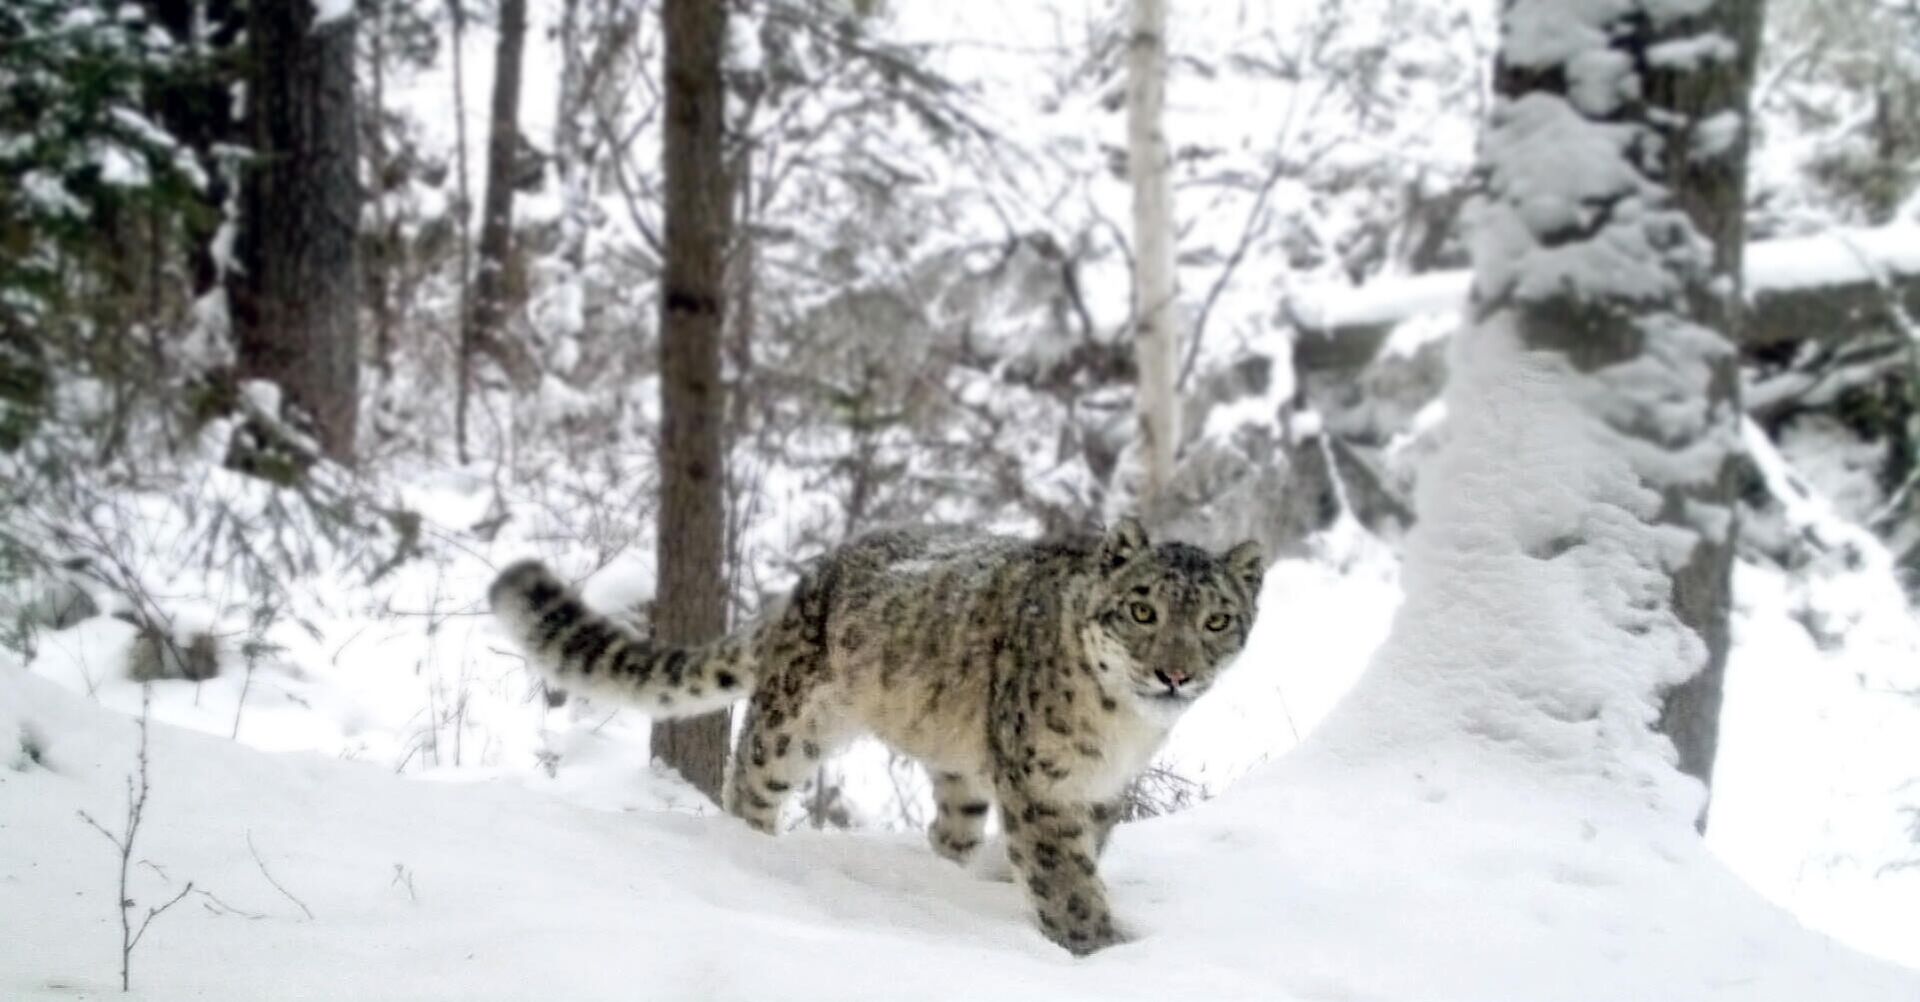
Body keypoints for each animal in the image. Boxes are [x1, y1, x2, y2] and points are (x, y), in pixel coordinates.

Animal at [487, 514, 1267, 952]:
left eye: (1216, 619)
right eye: (1141, 610)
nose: (1174, 674)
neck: (1121, 730)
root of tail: (811, 575)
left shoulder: (1100, 791)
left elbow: (1081, 856)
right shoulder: (1042, 784)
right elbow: (1064, 876)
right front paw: (1102, 947)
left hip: (958, 770)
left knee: (947, 830)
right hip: (794, 723)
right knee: (750, 783)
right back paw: (749, 853)